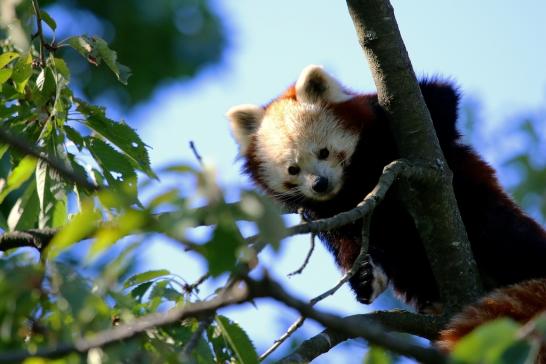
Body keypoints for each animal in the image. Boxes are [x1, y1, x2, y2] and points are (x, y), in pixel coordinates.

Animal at [225, 64, 544, 312]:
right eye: (293, 169)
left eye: (324, 153)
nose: (320, 184)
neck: (353, 185)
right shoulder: (329, 214)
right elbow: (350, 246)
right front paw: (365, 278)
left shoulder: (399, 112)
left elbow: (441, 100)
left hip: (485, 207)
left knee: (503, 234)